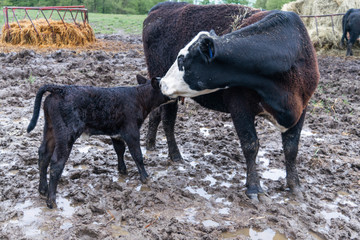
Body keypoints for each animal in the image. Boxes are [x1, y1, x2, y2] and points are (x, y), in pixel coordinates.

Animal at [26, 75, 170, 208]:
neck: (139, 97)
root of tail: (61, 89)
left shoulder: (115, 133)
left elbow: (120, 150)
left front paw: (122, 170)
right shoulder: (131, 132)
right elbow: (137, 155)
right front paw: (146, 178)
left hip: (50, 129)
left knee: (43, 155)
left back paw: (43, 189)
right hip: (66, 134)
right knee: (56, 162)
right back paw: (51, 201)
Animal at [142, 2, 320, 200]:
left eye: (181, 59)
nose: (162, 82)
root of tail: (164, 5)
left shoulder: (301, 107)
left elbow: (291, 148)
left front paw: (295, 186)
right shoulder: (239, 106)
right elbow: (250, 145)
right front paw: (254, 187)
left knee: (157, 114)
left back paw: (150, 144)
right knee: (168, 121)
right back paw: (175, 155)